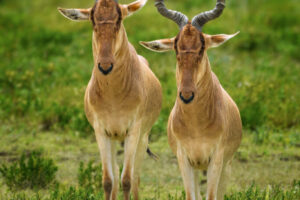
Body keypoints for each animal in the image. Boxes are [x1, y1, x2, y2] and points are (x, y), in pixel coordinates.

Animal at [57, 0, 163, 199]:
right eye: (93, 21)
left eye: (119, 20)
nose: (105, 66)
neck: (114, 97)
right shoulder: (101, 131)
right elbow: (108, 180)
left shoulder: (133, 131)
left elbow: (127, 180)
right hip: (114, 138)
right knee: (114, 175)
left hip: (142, 138)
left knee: (135, 178)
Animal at [140, 0, 241, 199]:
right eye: (176, 47)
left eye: (202, 47)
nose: (187, 95)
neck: (196, 125)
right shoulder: (184, 160)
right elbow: (190, 195)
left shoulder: (216, 160)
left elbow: (212, 196)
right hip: (197, 168)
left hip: (226, 166)